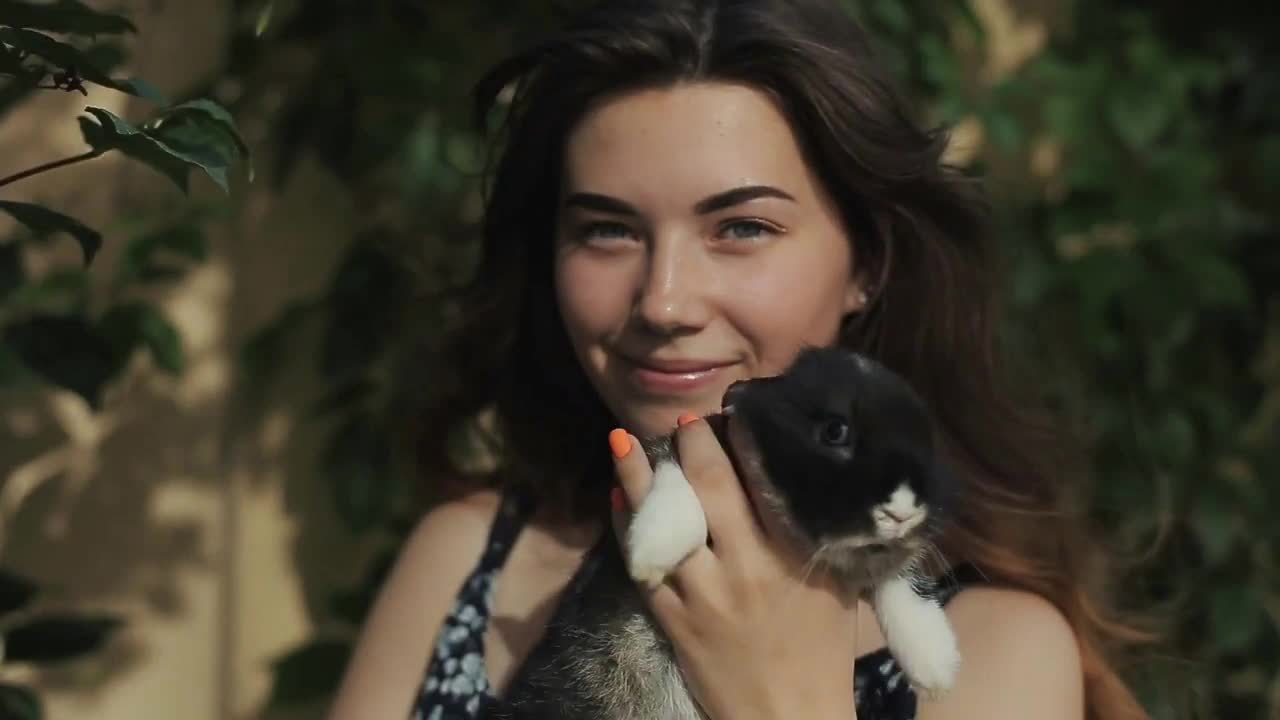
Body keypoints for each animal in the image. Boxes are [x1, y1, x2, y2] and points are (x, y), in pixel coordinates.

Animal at [488, 345, 962, 712]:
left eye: (926, 440)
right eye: (834, 430)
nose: (905, 510)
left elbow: (898, 579)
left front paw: (934, 661)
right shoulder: (675, 449)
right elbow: (674, 479)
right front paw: (651, 547)